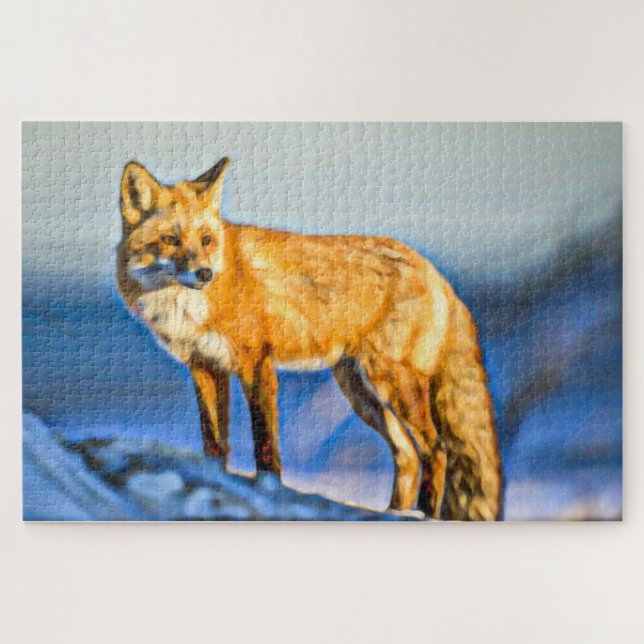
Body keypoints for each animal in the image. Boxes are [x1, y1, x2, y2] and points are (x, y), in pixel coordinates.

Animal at [116, 157, 503, 520]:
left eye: (207, 239)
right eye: (171, 240)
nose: (204, 273)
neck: (190, 306)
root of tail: (436, 272)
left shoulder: (256, 364)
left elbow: (265, 444)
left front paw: (270, 492)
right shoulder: (205, 367)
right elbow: (214, 444)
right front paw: (215, 482)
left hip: (393, 382)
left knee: (436, 450)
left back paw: (422, 514)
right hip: (358, 390)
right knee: (406, 454)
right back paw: (393, 513)